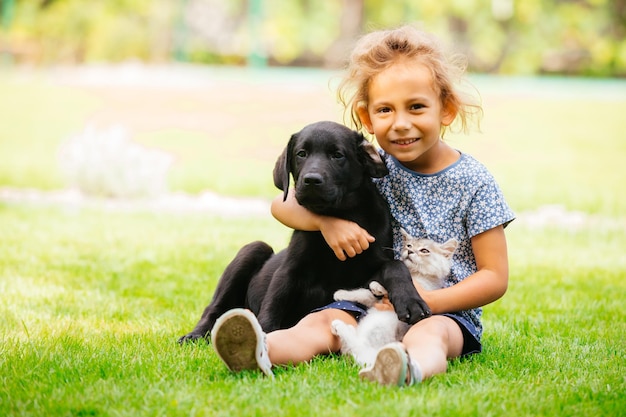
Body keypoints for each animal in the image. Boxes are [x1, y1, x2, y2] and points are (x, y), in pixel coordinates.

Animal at [178, 119, 426, 342]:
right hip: (253, 249)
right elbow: (272, 305)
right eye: (301, 154)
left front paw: (410, 301)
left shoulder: (369, 275)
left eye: (338, 155)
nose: (311, 180)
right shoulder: (289, 271)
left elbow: (395, 266)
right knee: (215, 308)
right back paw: (195, 335)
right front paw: (264, 338)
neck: (341, 215)